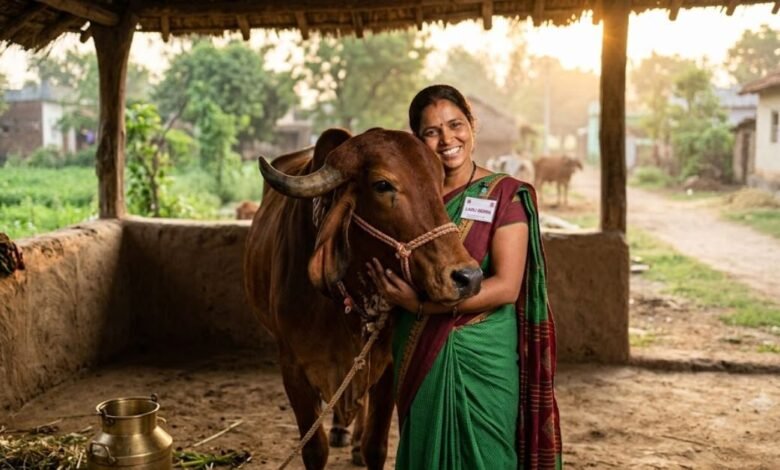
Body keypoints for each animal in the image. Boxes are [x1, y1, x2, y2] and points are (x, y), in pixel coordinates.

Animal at [243, 128, 483, 470]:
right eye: (382, 185)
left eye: (439, 182)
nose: (467, 277)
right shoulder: (292, 367)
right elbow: (314, 449)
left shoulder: (388, 364)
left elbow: (375, 446)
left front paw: (363, 445)